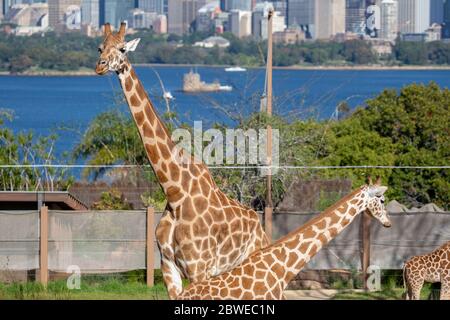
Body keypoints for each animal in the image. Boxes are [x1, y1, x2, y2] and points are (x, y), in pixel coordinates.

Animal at [95, 23, 268, 300]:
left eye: (122, 49)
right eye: (100, 47)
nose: (100, 66)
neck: (175, 192)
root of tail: (260, 228)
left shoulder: (199, 269)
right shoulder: (168, 267)